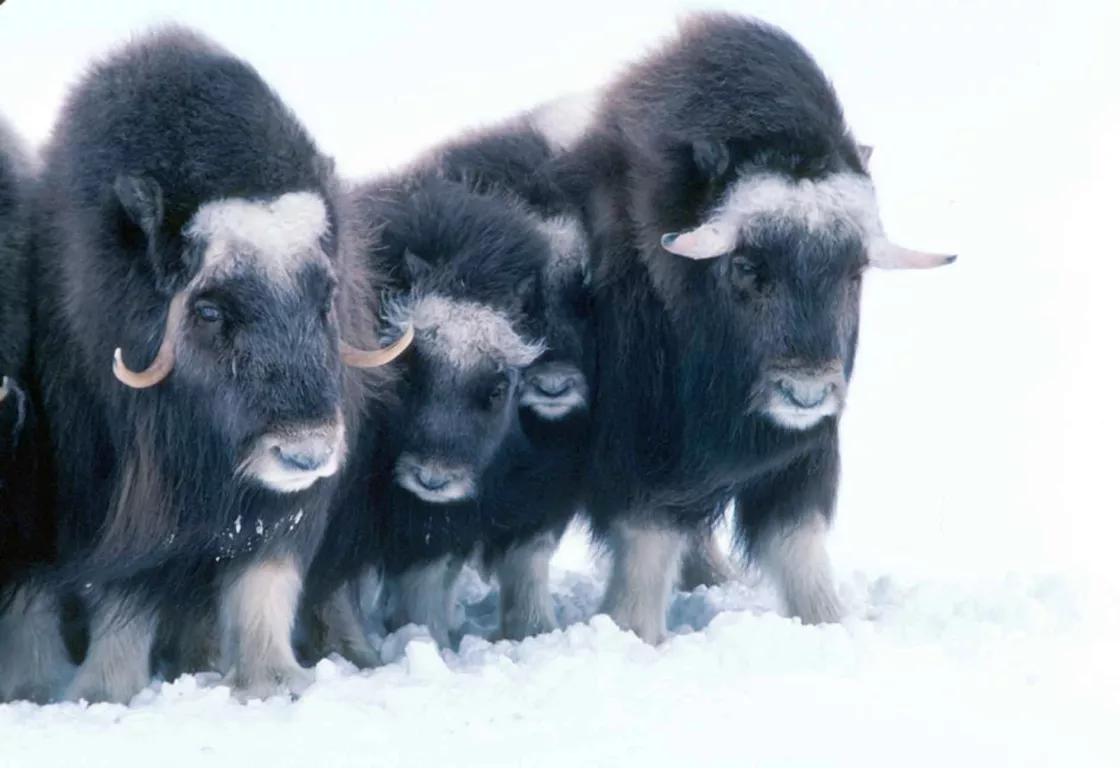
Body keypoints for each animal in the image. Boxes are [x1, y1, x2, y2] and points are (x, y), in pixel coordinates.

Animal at [17, 28, 409, 703]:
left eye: (326, 296)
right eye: (207, 310)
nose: (305, 453)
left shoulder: (279, 508)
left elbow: (264, 577)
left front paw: (275, 681)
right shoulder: (115, 490)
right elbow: (122, 590)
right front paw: (106, 692)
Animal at [555, 15, 958, 644]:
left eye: (854, 273)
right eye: (747, 268)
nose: (807, 393)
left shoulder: (797, 463)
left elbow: (800, 550)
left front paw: (829, 625)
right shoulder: (644, 457)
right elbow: (645, 554)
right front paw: (635, 636)